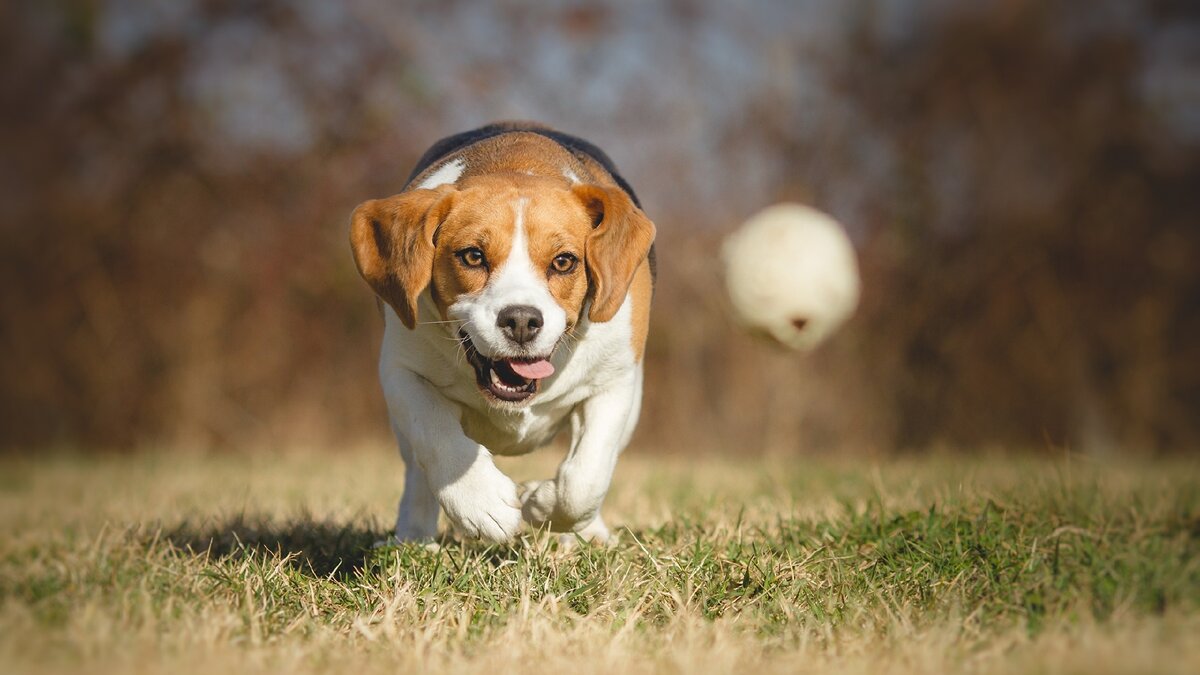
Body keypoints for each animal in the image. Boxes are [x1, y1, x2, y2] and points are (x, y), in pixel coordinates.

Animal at [350, 120, 657, 540]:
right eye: (473, 256)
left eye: (564, 262)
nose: (522, 321)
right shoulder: (401, 372)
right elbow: (434, 433)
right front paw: (481, 504)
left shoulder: (614, 383)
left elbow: (585, 479)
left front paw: (542, 504)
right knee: (417, 472)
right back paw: (414, 536)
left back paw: (587, 533)